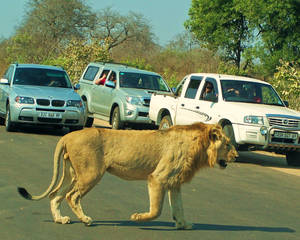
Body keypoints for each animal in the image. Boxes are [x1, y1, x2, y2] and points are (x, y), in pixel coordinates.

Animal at [18, 123, 239, 230]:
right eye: (228, 144)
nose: (236, 156)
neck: (200, 147)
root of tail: (67, 135)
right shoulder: (158, 178)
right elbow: (156, 210)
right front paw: (137, 218)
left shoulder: (174, 182)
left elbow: (178, 207)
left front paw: (184, 225)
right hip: (91, 173)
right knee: (71, 196)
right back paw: (86, 220)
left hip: (72, 173)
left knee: (55, 195)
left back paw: (60, 219)